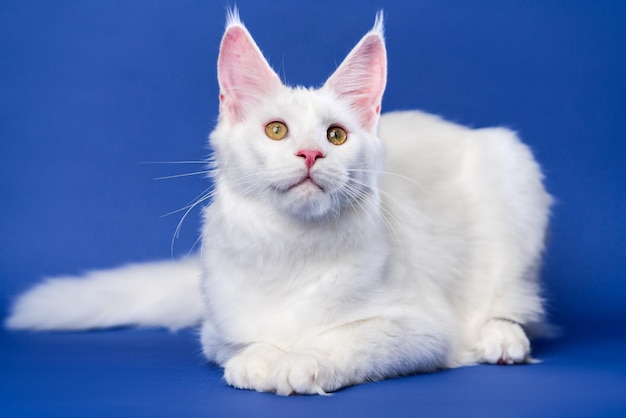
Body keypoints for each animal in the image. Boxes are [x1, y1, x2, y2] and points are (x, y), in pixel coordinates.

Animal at [4, 10, 552, 396]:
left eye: (335, 136)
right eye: (276, 131)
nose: (310, 153)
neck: (293, 249)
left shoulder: (421, 328)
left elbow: (344, 339)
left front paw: (301, 361)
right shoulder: (217, 329)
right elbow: (249, 341)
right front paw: (258, 361)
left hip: (512, 171)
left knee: (512, 304)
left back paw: (501, 340)